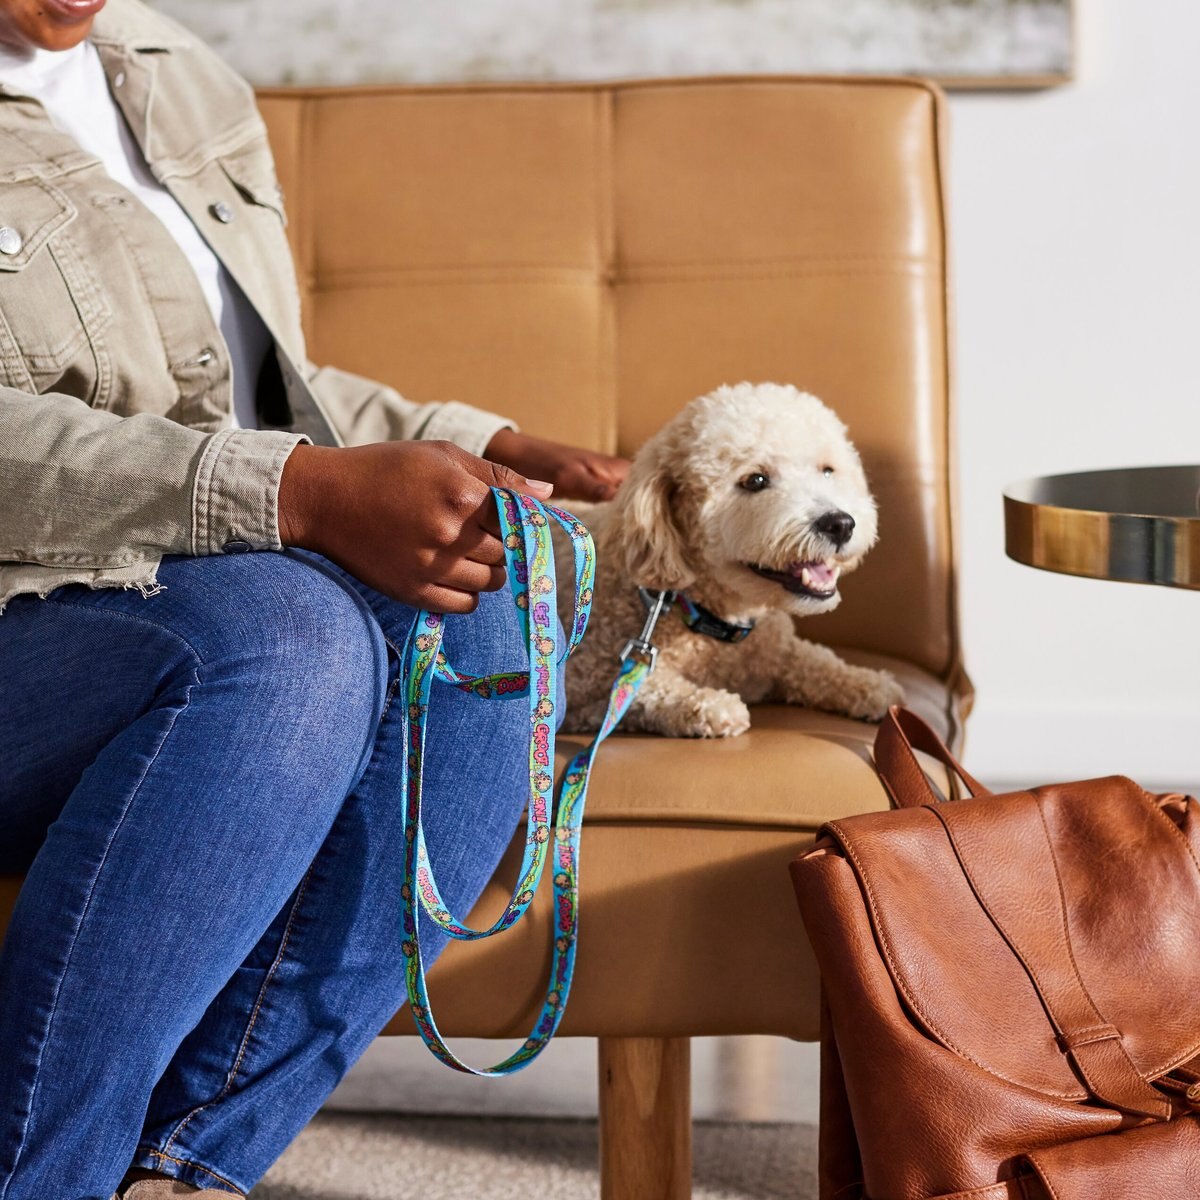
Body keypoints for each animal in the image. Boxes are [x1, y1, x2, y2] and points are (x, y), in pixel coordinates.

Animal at [556, 379, 902, 734]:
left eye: (827, 471)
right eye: (755, 480)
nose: (840, 524)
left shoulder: (780, 650)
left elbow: (815, 661)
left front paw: (870, 684)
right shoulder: (583, 683)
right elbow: (640, 691)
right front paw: (708, 704)